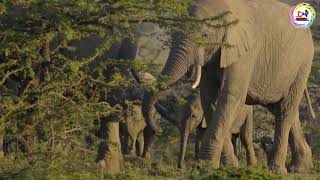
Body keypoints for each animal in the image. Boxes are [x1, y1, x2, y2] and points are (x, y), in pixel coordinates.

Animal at [144, 0, 314, 174]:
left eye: (205, 36)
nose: (158, 130)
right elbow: (209, 99)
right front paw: (229, 165)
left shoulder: (244, 52)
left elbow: (230, 97)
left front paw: (207, 166)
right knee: (280, 108)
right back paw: (301, 168)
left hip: (303, 64)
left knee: (285, 110)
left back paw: (278, 170)